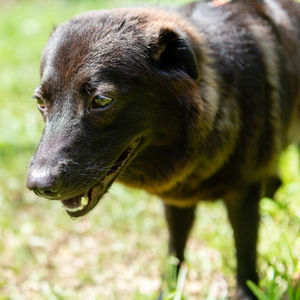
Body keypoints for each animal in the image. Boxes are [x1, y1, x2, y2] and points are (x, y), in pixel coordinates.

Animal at [27, 0, 300, 298]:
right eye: (41, 102)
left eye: (101, 100)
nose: (39, 185)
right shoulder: (177, 199)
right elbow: (175, 252)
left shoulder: (244, 194)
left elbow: (245, 253)